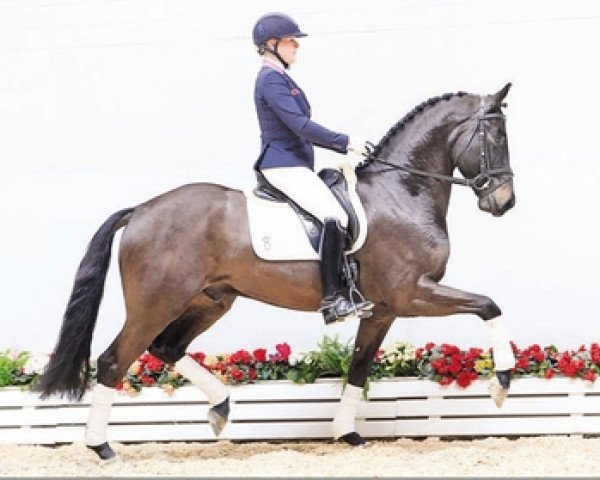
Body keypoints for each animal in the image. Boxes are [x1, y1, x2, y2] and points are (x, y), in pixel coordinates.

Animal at [37, 83, 516, 462]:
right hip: (155, 303)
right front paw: (501, 383)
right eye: (496, 136)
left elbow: (359, 368)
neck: (402, 191)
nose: (504, 202)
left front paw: (347, 432)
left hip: (211, 300)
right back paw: (101, 447)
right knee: (114, 360)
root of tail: (139, 211)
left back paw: (221, 408)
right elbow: (489, 306)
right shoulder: (413, 294)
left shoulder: (382, 310)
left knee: (167, 346)